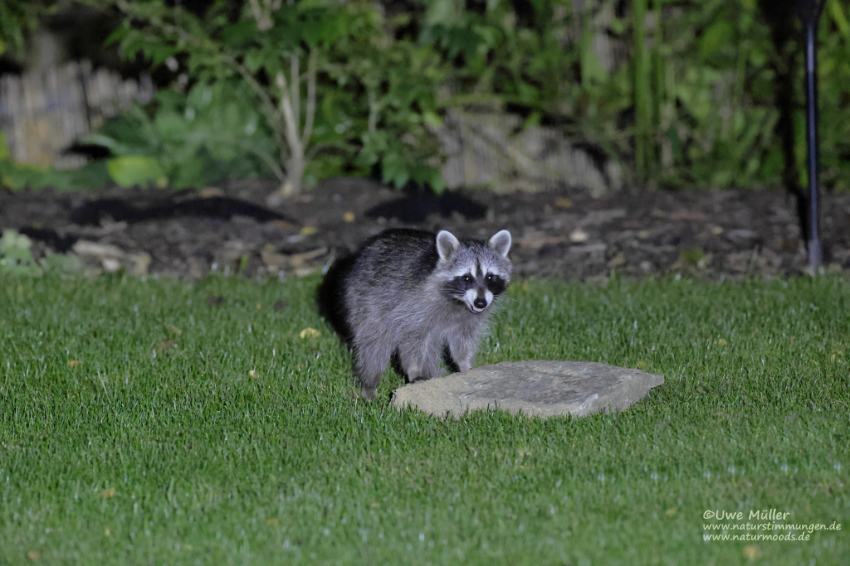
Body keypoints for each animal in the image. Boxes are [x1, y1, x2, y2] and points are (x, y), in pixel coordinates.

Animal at [318, 230, 510, 400]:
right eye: (467, 278)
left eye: (490, 277)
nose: (481, 303)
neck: (458, 302)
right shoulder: (414, 307)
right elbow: (410, 342)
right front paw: (415, 371)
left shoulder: (467, 320)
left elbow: (462, 341)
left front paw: (465, 365)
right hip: (364, 305)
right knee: (374, 346)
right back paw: (369, 385)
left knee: (431, 347)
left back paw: (431, 374)